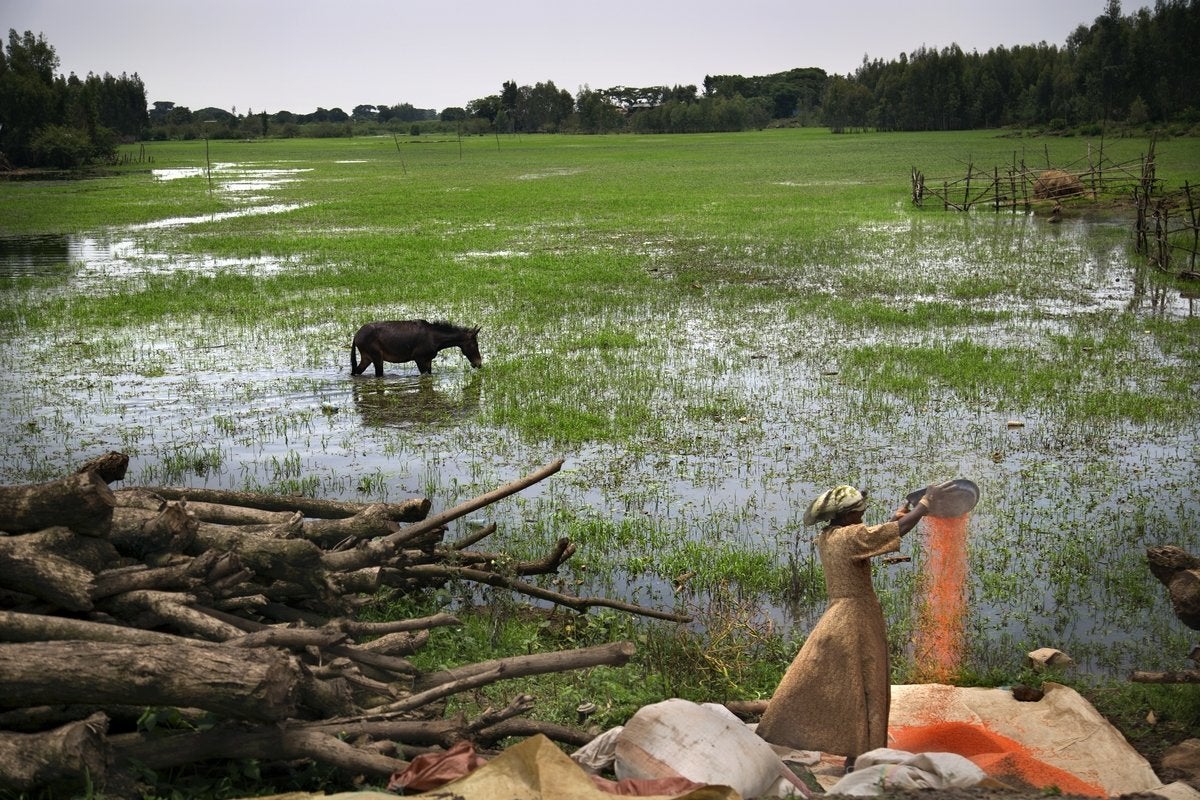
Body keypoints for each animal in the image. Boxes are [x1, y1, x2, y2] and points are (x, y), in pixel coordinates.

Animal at [350, 321, 480, 376]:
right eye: (475, 344)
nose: (479, 363)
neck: (437, 339)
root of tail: (356, 336)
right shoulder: (419, 358)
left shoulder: (428, 360)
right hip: (376, 356)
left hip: (367, 357)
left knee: (356, 371)